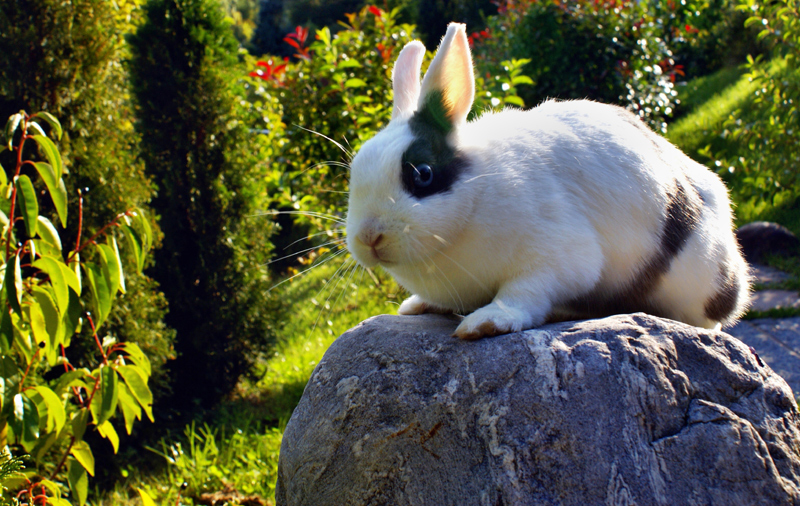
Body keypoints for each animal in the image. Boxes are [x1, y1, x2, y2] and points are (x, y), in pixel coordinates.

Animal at [344, 22, 752, 340]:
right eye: (354, 171)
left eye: (423, 174)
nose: (369, 238)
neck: (477, 193)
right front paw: (415, 306)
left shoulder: (555, 257)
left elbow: (524, 293)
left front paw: (485, 323)